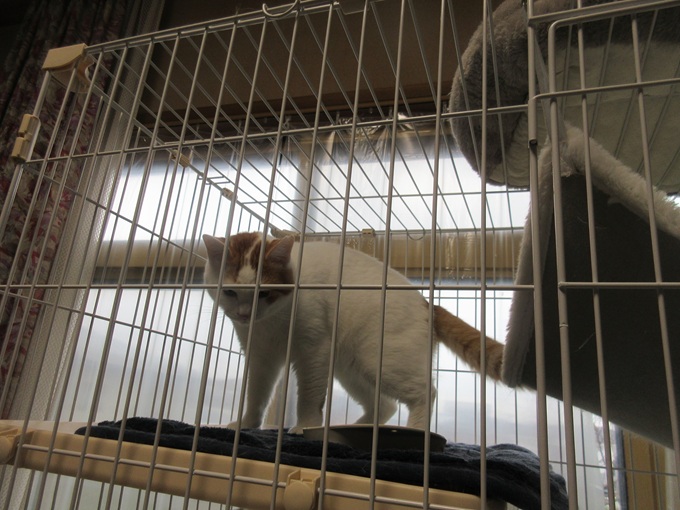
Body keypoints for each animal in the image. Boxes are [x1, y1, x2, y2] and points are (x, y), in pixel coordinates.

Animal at [203, 232, 504, 433]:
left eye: (264, 293)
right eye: (230, 292)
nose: (244, 315)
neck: (272, 322)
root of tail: (427, 304)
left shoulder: (315, 349)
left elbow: (309, 398)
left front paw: (305, 427)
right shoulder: (260, 356)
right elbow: (256, 394)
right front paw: (246, 424)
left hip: (382, 360)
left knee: (425, 393)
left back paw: (418, 433)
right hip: (351, 369)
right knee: (385, 405)